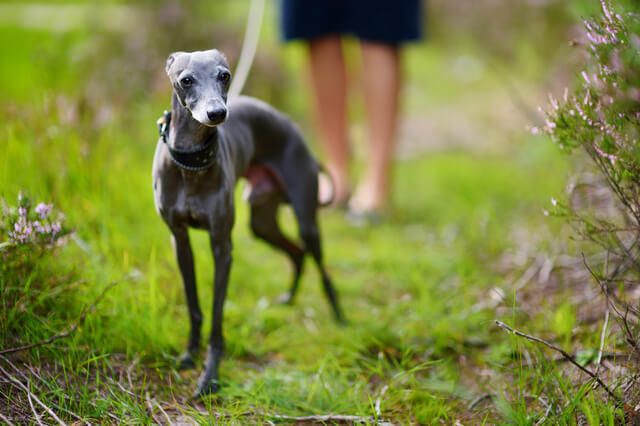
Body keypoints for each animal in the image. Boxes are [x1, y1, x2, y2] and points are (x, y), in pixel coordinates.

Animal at [151, 50, 344, 400]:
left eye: (224, 75)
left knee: (319, 265)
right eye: (186, 80)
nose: (217, 113)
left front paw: (210, 376)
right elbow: (194, 306)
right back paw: (288, 299)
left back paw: (339, 316)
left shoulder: (222, 246)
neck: (189, 164)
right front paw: (189, 354)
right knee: (296, 253)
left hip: (306, 218)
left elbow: (216, 315)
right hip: (262, 222)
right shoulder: (179, 241)